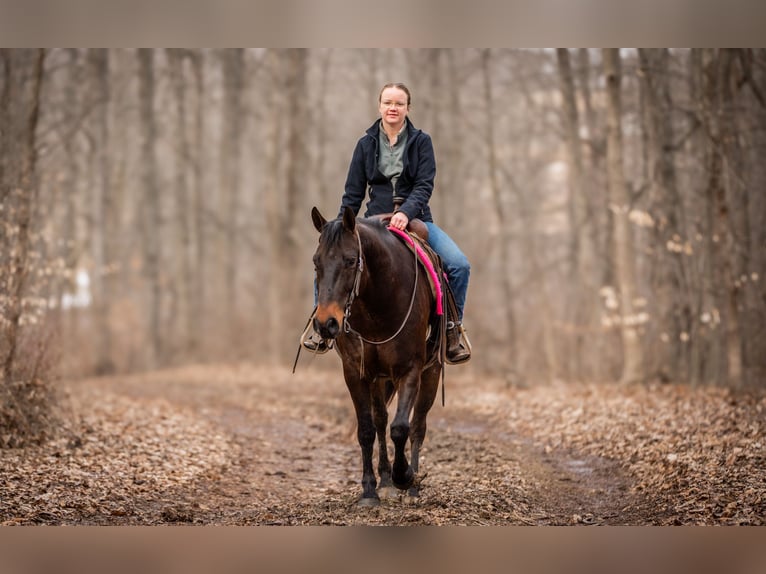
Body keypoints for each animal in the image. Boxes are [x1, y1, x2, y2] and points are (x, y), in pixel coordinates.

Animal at [310, 207, 444, 508]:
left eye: (350, 260)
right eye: (315, 262)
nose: (326, 324)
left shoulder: (410, 370)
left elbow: (401, 427)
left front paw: (404, 476)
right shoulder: (355, 372)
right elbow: (367, 429)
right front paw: (370, 490)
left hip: (431, 371)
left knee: (418, 425)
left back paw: (412, 486)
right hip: (379, 378)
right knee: (380, 419)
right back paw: (385, 480)